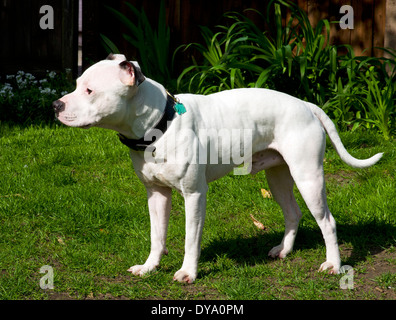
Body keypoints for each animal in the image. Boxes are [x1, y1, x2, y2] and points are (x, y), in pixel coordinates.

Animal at [53, 54, 384, 282]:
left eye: (89, 91)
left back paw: (334, 264)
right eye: (76, 86)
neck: (160, 124)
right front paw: (149, 267)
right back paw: (284, 250)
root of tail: (306, 104)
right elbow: (156, 236)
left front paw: (188, 273)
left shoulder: (194, 195)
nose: (56, 105)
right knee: (293, 213)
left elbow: (190, 238)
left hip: (309, 178)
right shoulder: (156, 195)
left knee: (327, 221)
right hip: (278, 178)